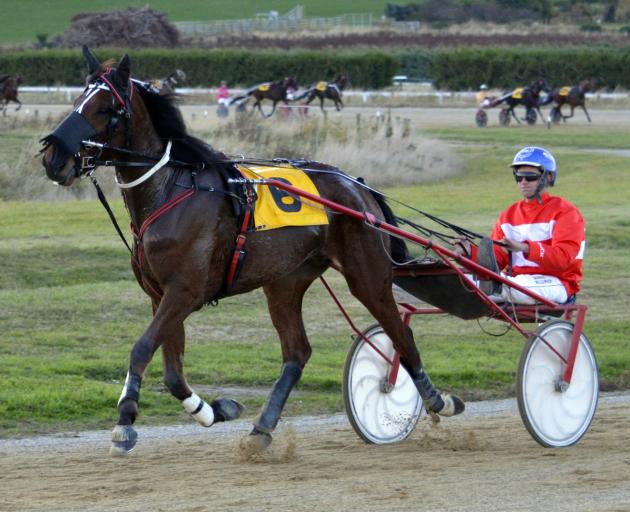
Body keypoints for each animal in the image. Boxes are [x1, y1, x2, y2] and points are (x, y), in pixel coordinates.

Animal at [39, 49, 464, 456]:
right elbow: (173, 373)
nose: (53, 156)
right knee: (297, 352)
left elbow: (142, 347)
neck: (172, 190)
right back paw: (262, 428)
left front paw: (125, 421)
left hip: (367, 274)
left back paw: (437, 400)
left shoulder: (184, 291)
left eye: (106, 107)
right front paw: (215, 410)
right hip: (285, 282)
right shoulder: (160, 294)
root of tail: (358, 186)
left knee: (400, 334)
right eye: (77, 99)